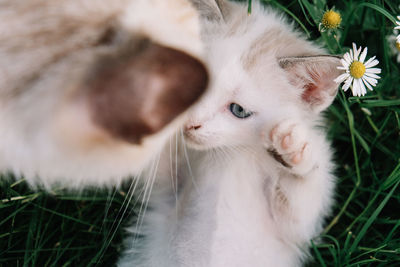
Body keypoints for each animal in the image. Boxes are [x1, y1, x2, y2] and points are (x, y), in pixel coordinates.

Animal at [120, 1, 342, 266]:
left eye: (239, 110)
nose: (190, 124)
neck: (228, 156)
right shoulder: (166, 192)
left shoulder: (297, 231)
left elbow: (304, 202)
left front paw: (294, 148)